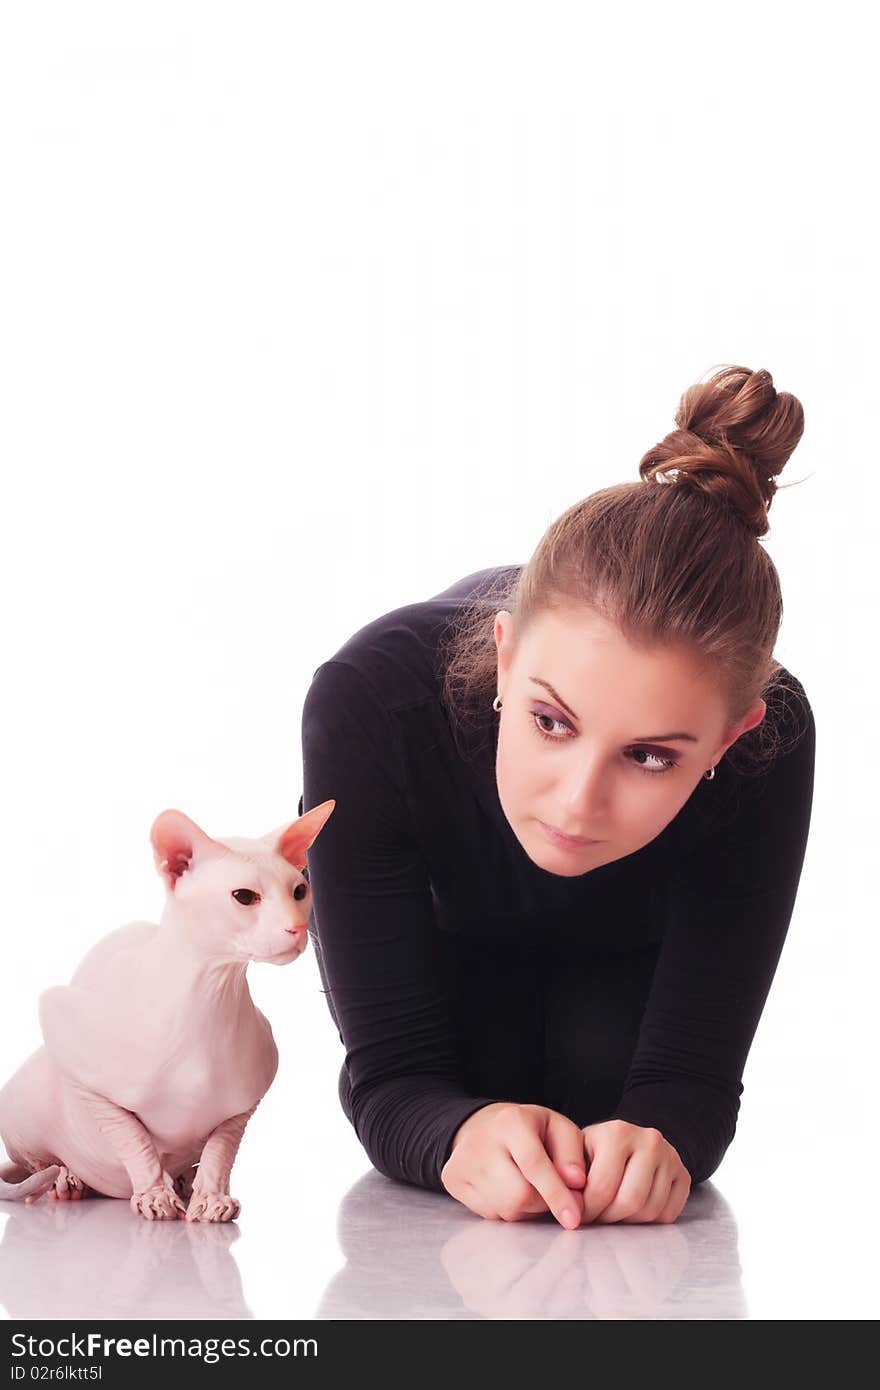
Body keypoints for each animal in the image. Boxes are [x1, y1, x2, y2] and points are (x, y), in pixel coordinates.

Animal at [0, 800, 332, 1223]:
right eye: (244, 896)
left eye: (300, 891)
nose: (297, 928)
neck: (209, 999)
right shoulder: (68, 1043)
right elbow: (132, 1137)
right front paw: (154, 1194)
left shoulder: (247, 1099)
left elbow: (221, 1147)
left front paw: (211, 1197)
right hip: (25, 1097)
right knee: (37, 1162)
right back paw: (68, 1179)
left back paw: (184, 1181)